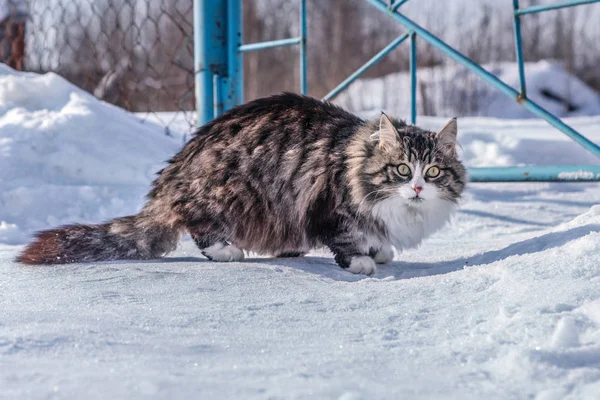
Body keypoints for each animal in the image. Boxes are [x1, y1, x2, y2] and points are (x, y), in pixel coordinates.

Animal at [14, 93, 466, 276]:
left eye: (433, 172)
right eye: (402, 170)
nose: (418, 189)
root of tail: (175, 173)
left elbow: (377, 238)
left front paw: (381, 249)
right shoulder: (331, 205)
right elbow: (346, 239)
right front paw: (362, 261)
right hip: (227, 190)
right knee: (198, 225)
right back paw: (228, 251)